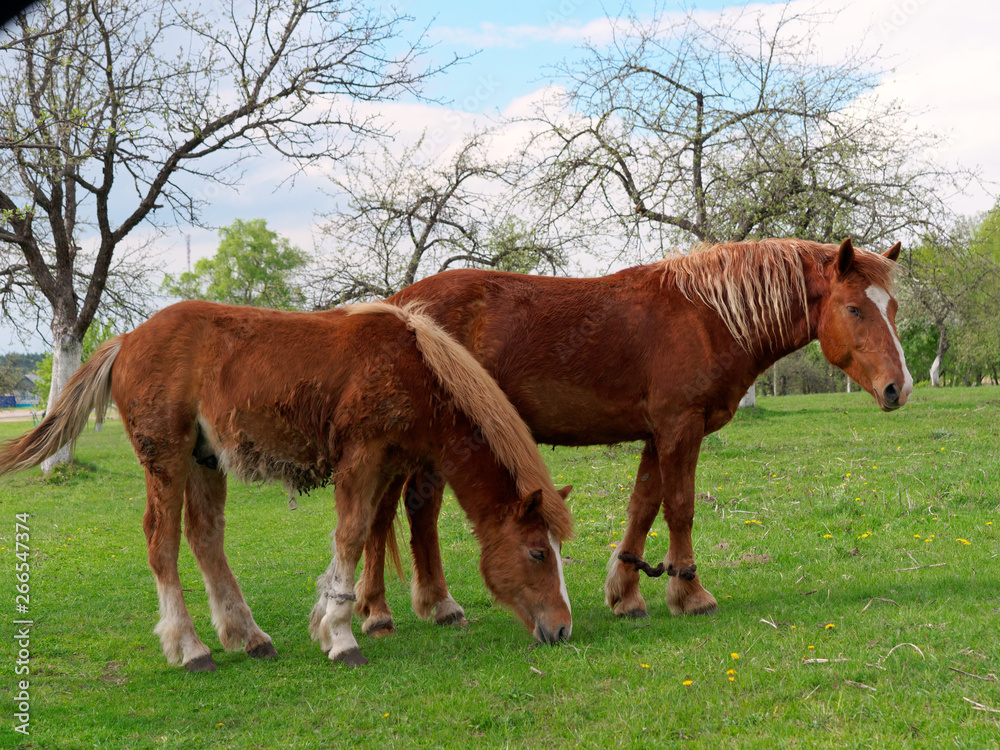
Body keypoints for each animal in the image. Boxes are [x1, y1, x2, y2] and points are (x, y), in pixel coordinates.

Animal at [0, 300, 573, 670]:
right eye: (537, 553)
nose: (564, 629)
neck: (410, 365)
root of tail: (125, 340)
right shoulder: (361, 459)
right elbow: (351, 536)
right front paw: (341, 636)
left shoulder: (389, 465)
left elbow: (368, 533)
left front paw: (341, 620)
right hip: (167, 460)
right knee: (161, 544)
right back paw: (191, 649)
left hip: (205, 461)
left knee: (205, 539)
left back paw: (247, 636)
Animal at [353, 237, 912, 635]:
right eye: (855, 309)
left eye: (894, 308)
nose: (898, 388)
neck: (707, 315)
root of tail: (398, 304)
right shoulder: (681, 427)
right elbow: (680, 507)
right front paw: (690, 593)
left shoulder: (656, 433)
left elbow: (643, 506)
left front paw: (627, 594)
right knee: (400, 512)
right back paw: (390, 608)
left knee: (405, 510)